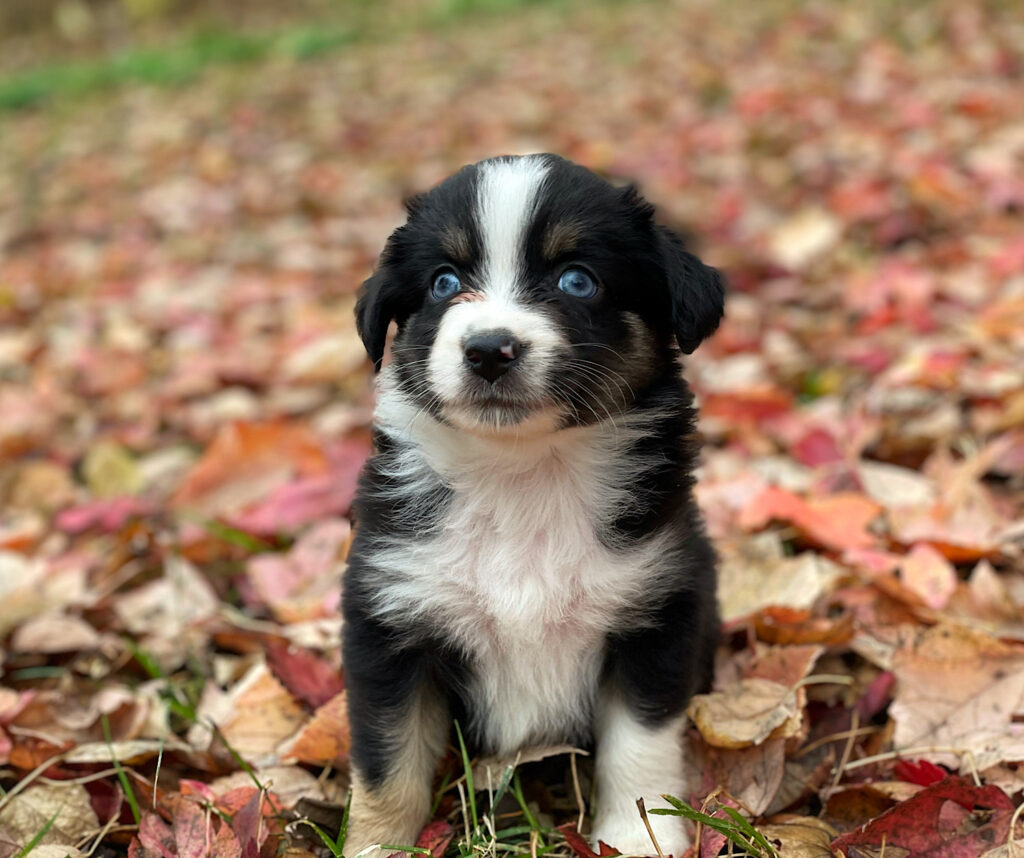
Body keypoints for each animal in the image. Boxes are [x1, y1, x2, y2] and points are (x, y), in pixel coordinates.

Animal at [342, 152, 720, 851]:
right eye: (443, 282)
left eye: (577, 280)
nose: (489, 348)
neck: (522, 472)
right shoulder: (390, 623)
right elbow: (388, 763)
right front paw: (379, 846)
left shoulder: (656, 611)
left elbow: (640, 745)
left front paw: (637, 839)